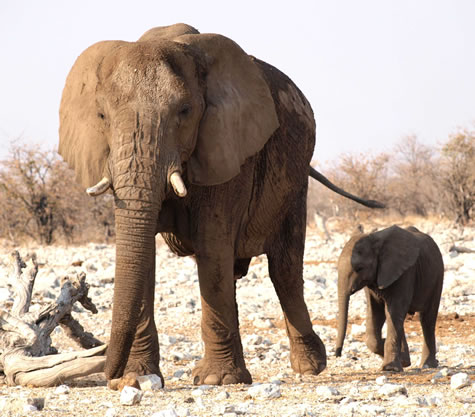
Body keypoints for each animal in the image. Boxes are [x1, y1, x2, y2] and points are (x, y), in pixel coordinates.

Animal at [59, 23, 384, 386]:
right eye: (102, 115)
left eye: (185, 112)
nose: (107, 373)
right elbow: (145, 256)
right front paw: (136, 379)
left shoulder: (227, 147)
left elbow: (212, 246)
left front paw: (218, 380)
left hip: (296, 180)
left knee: (283, 270)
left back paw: (310, 367)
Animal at [336, 224, 444, 370]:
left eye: (359, 268)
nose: (337, 354)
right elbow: (376, 313)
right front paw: (397, 359)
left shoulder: (405, 273)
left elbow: (393, 311)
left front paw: (390, 369)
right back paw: (407, 361)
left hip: (437, 277)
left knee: (427, 319)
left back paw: (427, 365)